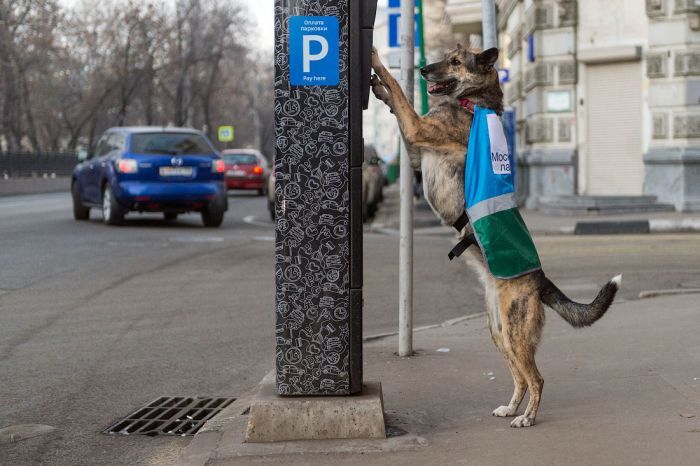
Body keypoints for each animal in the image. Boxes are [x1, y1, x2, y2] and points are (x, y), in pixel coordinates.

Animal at [370, 45, 620, 428]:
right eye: (445, 57)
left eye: (455, 62)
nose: (424, 70)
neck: (473, 102)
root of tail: (541, 281)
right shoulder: (414, 152)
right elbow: (395, 102)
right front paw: (379, 90)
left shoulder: (416, 129)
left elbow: (400, 92)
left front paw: (376, 61)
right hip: (499, 333)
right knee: (521, 377)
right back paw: (511, 408)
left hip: (515, 332)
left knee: (537, 378)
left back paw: (527, 418)